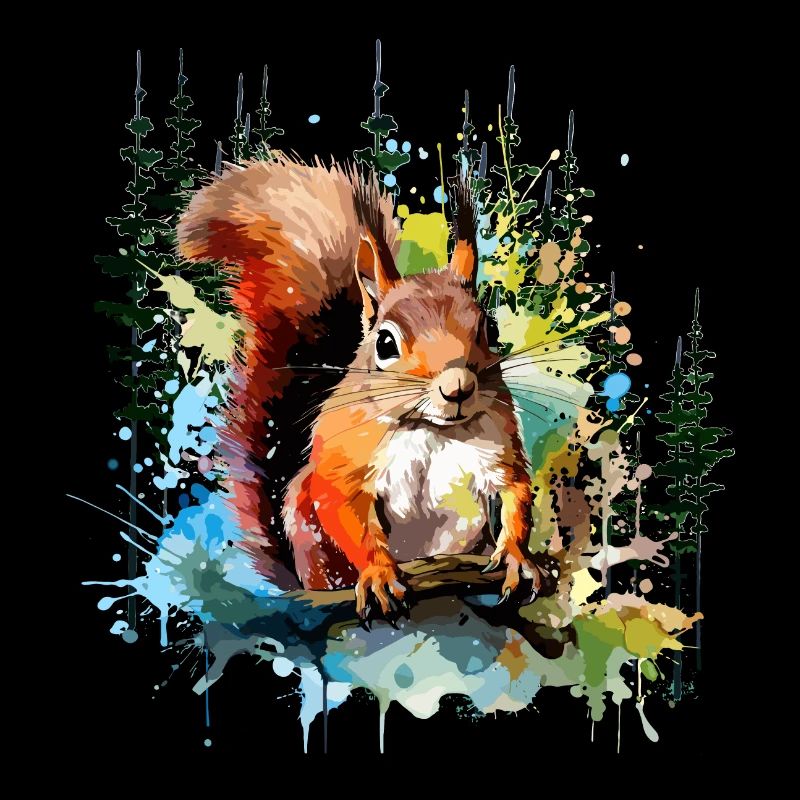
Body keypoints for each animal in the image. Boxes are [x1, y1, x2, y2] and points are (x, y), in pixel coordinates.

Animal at [177, 155, 543, 623]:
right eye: (385, 343)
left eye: (490, 329)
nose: (457, 386)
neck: (432, 429)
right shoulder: (345, 457)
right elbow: (345, 509)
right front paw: (378, 573)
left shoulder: (500, 444)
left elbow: (516, 492)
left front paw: (517, 557)